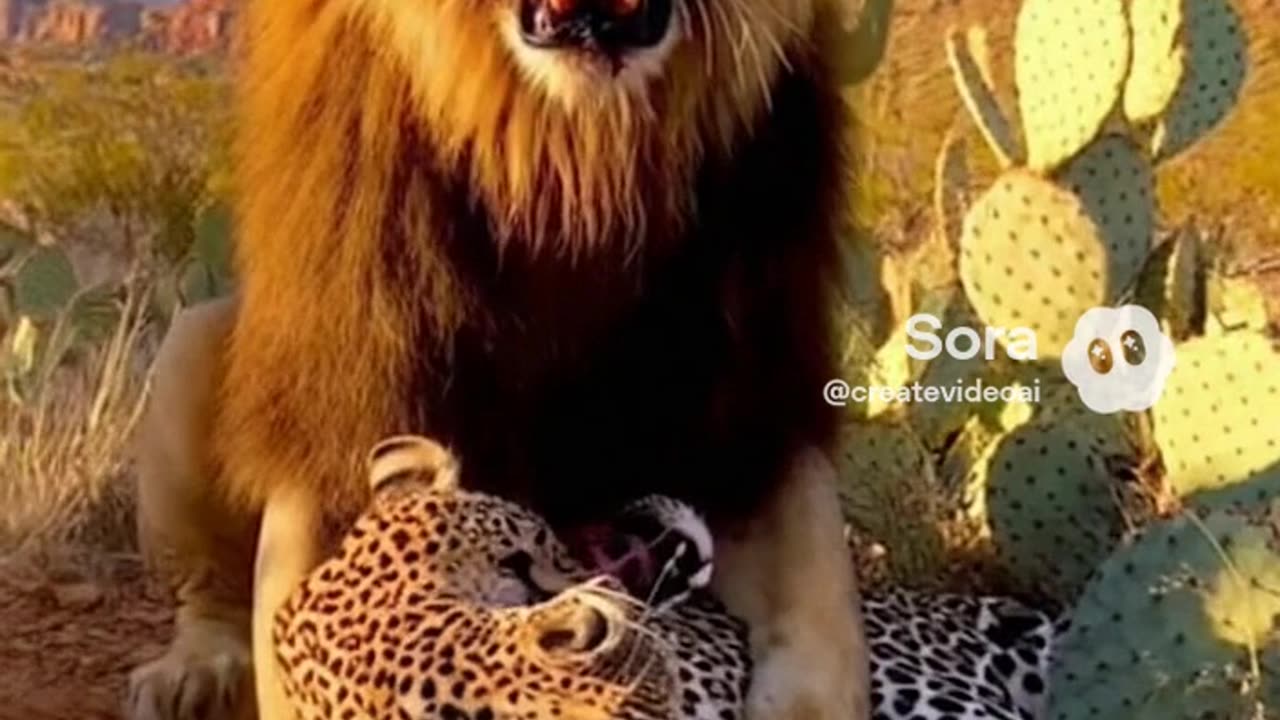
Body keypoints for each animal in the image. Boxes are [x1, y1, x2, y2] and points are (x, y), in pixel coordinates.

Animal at [127, 0, 871, 719]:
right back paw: (195, 673)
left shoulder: (754, 412)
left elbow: (825, 632)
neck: (572, 161)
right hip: (191, 346)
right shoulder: (348, 395)